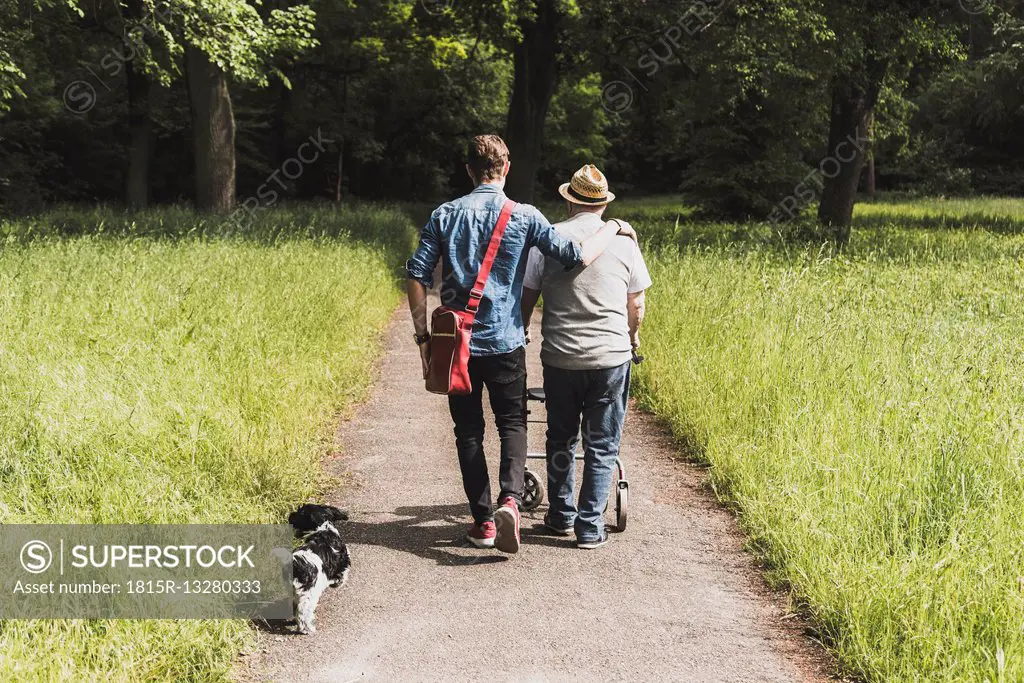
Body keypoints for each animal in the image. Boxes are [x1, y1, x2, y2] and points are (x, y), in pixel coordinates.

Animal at [288, 501, 352, 634]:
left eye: (299, 513)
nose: (289, 516)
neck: (324, 529)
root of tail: (297, 563)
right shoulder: (343, 560)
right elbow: (343, 574)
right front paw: (337, 583)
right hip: (309, 594)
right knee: (303, 612)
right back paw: (306, 629)